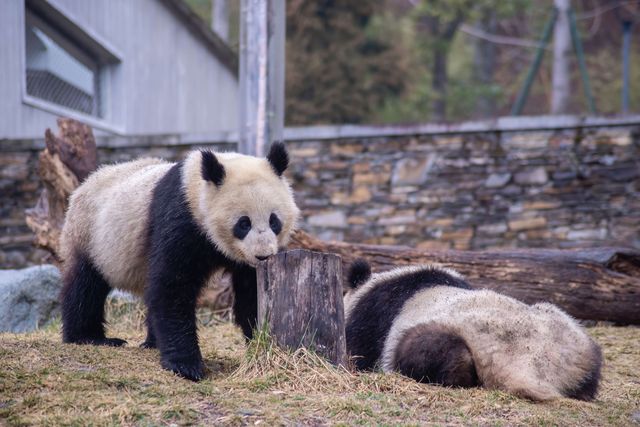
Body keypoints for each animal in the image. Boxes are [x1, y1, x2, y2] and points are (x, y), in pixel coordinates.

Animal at [60, 143, 300, 382]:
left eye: (274, 221)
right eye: (243, 223)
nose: (263, 255)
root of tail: (84, 184)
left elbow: (251, 295)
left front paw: (261, 342)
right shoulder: (182, 220)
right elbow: (172, 286)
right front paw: (186, 366)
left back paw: (151, 342)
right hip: (90, 235)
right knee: (85, 286)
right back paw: (89, 337)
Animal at [344, 260, 600, 402]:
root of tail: (530, 366)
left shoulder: (372, 317)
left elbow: (359, 350)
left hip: (448, 331)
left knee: (426, 348)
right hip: (574, 341)